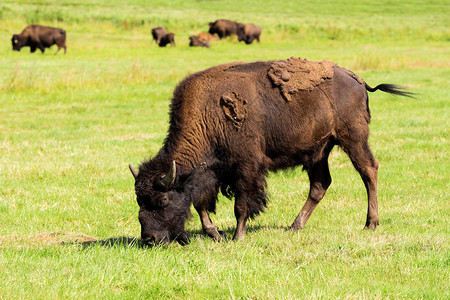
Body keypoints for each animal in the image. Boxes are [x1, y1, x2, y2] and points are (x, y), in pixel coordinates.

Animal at [128, 56, 414, 246]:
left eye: (162, 201)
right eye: (139, 200)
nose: (150, 238)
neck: (208, 116)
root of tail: (356, 79)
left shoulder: (246, 167)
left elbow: (241, 205)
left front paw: (238, 237)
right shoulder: (211, 172)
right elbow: (201, 204)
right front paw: (215, 233)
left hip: (352, 139)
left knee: (368, 170)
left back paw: (370, 223)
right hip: (319, 150)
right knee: (320, 185)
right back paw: (294, 226)